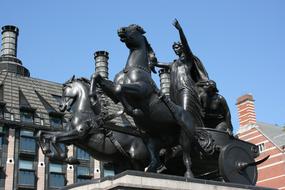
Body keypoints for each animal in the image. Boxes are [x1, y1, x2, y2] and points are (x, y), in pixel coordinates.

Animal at [91, 24, 202, 178]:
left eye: (134, 27)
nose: (121, 29)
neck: (133, 68)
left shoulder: (142, 90)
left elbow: (120, 89)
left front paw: (133, 111)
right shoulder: (112, 92)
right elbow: (98, 78)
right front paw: (92, 99)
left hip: (184, 136)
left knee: (186, 156)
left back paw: (189, 175)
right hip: (152, 138)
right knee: (155, 158)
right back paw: (152, 170)